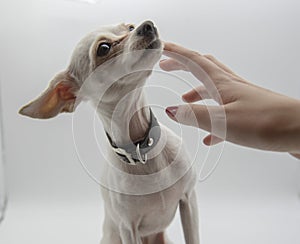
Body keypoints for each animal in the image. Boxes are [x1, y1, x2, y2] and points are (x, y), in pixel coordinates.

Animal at [19, 21, 199, 244]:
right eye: (103, 48)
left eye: (129, 27)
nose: (147, 25)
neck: (141, 148)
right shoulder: (128, 228)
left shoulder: (189, 201)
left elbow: (193, 237)